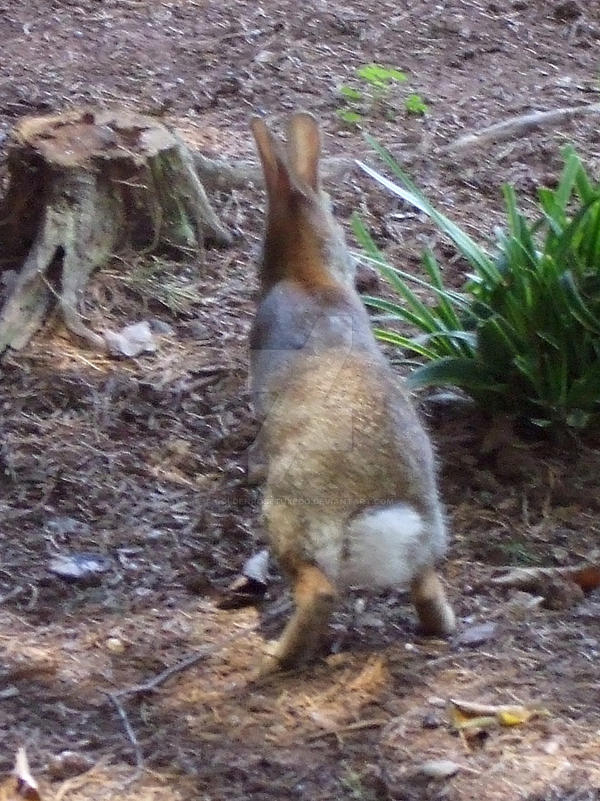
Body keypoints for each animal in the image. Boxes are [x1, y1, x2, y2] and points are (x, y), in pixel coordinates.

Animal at [249, 111, 455, 673]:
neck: (309, 273)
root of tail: (382, 512)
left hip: (291, 520)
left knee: (319, 592)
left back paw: (275, 657)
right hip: (428, 542)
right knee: (427, 586)